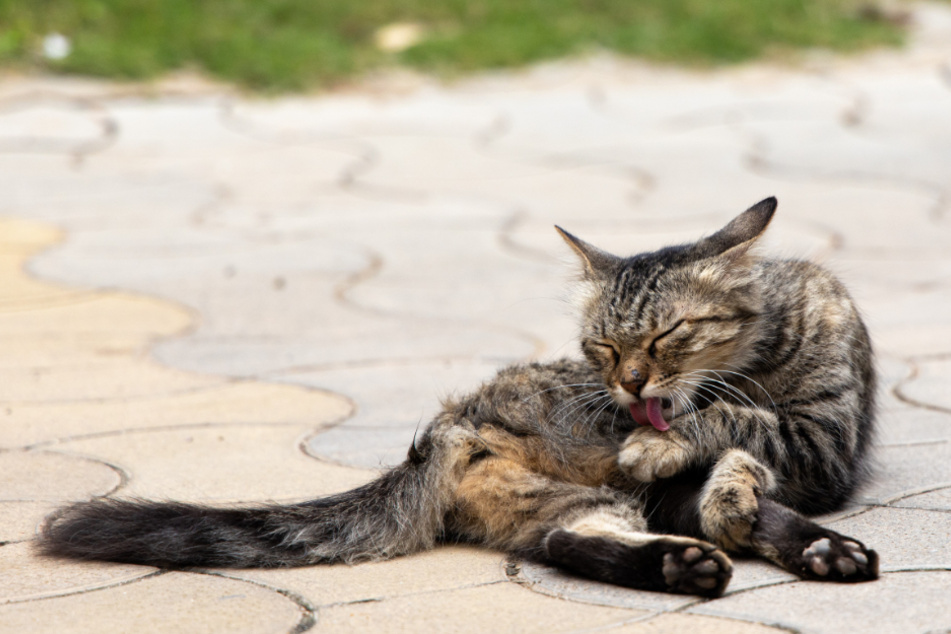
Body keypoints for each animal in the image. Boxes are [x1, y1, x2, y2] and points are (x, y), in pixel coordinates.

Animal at [42, 199, 876, 596]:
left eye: (664, 335)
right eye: (604, 348)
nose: (629, 386)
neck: (753, 359)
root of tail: (448, 424)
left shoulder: (820, 441)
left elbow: (735, 427)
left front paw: (696, 454)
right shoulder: (789, 443)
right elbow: (727, 427)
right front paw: (673, 442)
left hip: (602, 497)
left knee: (590, 533)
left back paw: (812, 548)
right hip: (580, 496)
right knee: (569, 540)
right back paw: (691, 563)